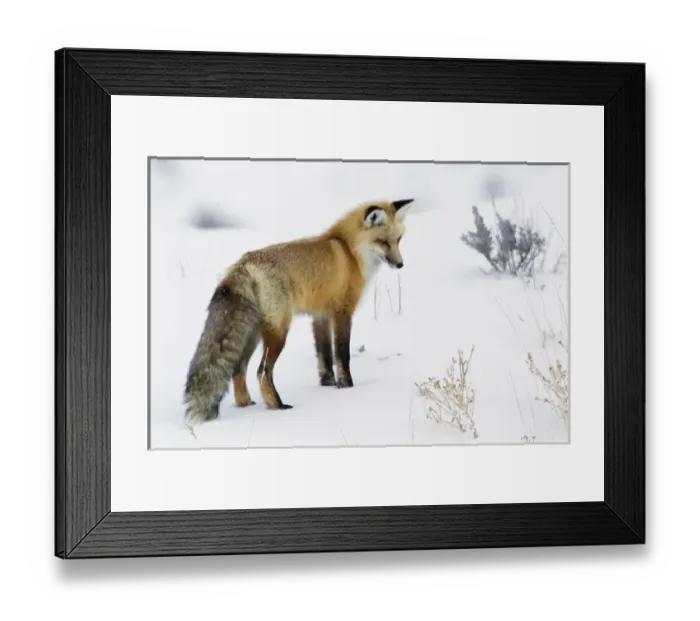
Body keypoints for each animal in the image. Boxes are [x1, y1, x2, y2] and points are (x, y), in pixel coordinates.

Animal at [183, 198, 414, 422]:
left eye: (399, 240)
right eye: (383, 241)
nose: (400, 264)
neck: (348, 250)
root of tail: (243, 263)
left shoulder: (320, 315)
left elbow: (324, 356)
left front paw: (328, 384)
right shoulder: (342, 311)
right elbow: (342, 354)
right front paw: (346, 386)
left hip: (254, 332)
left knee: (238, 368)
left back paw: (246, 405)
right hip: (279, 331)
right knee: (262, 371)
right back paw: (277, 405)